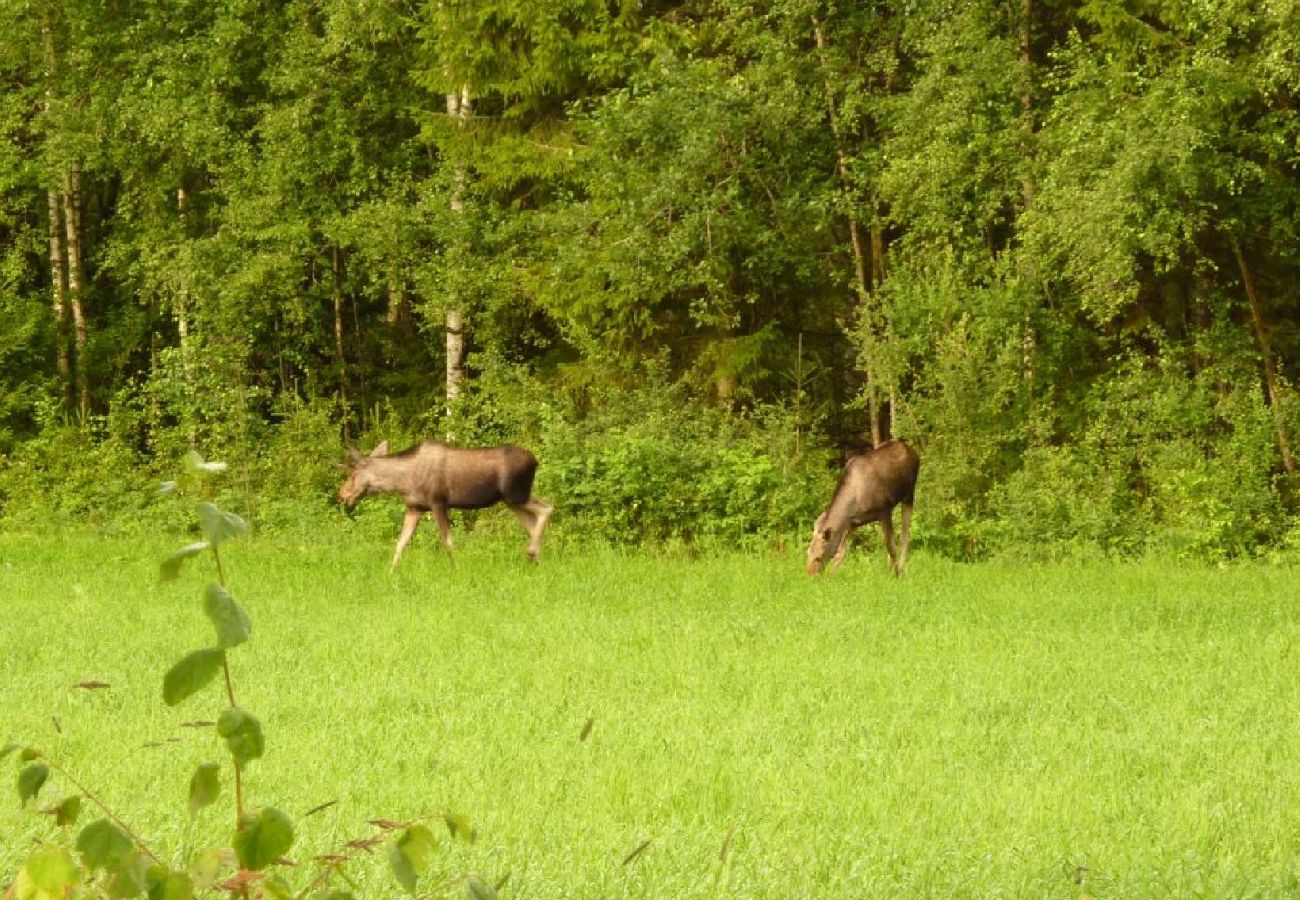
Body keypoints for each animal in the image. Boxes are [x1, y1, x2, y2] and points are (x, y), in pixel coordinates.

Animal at [335, 439, 553, 567]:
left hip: (515, 494)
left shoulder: (438, 502)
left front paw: (456, 569)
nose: (342, 494)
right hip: (512, 501)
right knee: (533, 524)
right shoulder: (414, 508)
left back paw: (532, 552)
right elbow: (401, 543)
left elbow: (447, 542)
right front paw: (391, 572)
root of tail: (535, 461)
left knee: (547, 508)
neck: (402, 482)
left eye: (352, 474)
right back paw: (536, 559)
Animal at [806, 442, 920, 577]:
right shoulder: (852, 524)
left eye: (819, 556)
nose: (810, 576)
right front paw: (832, 576)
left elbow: (891, 546)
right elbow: (841, 552)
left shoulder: (884, 511)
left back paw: (900, 569)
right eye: (807, 553)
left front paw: (897, 574)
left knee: (905, 534)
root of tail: (913, 451)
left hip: (909, 495)